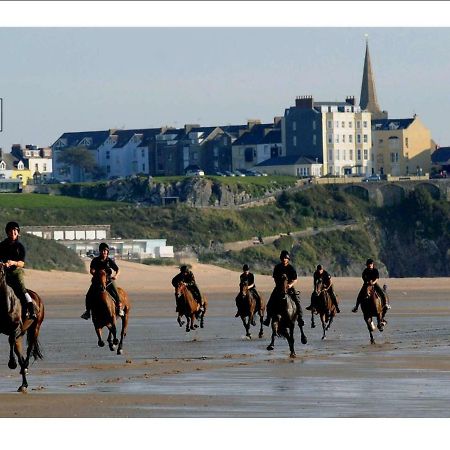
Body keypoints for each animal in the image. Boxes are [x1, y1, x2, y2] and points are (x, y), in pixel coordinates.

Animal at [0, 262, 44, 393]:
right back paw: (23, 383)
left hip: (35, 328)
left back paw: (24, 368)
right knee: (20, 353)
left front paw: (12, 363)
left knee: (29, 349)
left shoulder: (16, 328)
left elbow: (11, 340)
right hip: (22, 333)